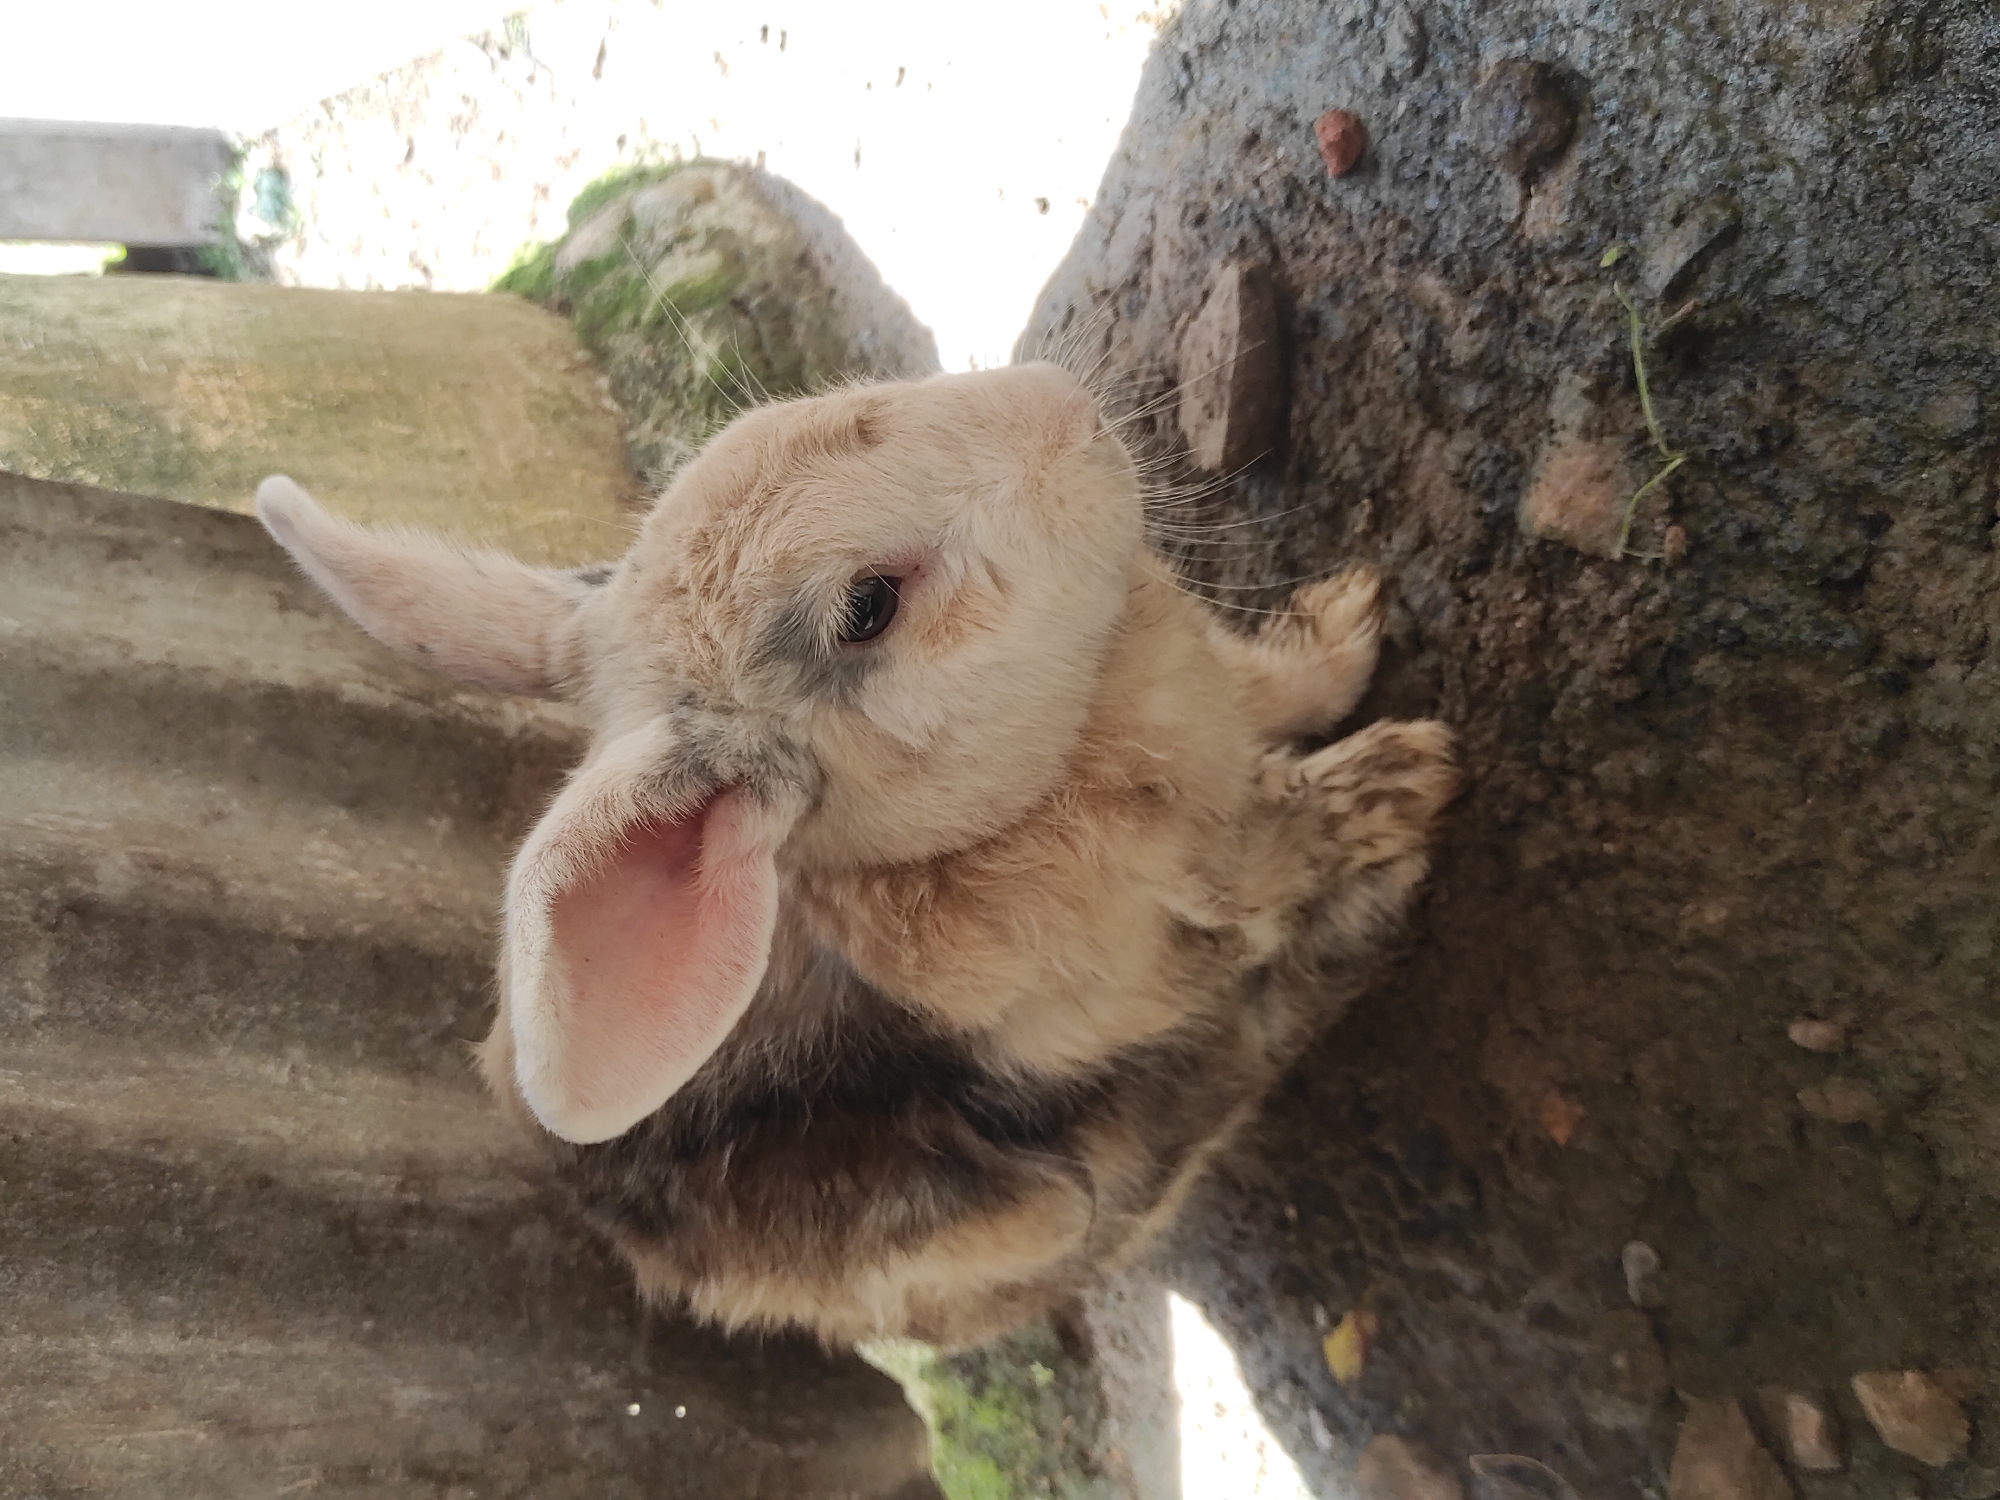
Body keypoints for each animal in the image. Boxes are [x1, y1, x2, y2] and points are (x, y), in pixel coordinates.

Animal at [255, 361, 1456, 1349]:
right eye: (868, 608)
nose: (1059, 399)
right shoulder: (1200, 899)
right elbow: (1291, 837)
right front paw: (1408, 778)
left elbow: (1281, 689)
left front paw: (1345, 620)